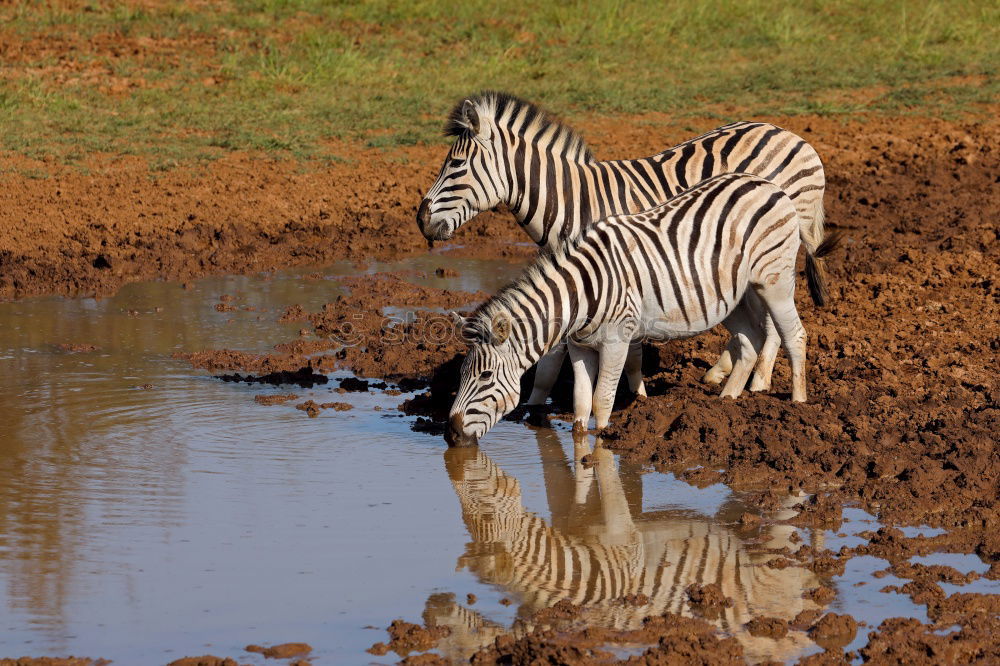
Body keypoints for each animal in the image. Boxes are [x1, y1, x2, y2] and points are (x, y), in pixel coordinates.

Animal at [414, 91, 828, 402]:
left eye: (456, 165)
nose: (420, 219)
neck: (575, 203)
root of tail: (796, 137)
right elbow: (551, 358)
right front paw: (534, 407)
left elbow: (628, 354)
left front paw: (635, 397)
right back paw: (722, 372)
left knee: (774, 319)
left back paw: (759, 381)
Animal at [426, 434, 824, 660]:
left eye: (458, 649)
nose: (429, 613)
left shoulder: (617, 539)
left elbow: (605, 474)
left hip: (775, 561)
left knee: (790, 527)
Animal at [446, 171, 812, 444]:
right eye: (461, 375)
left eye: (485, 376)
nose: (451, 434)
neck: (581, 295)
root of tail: (766, 183)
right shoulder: (580, 347)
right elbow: (581, 400)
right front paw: (581, 441)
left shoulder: (616, 342)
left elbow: (602, 399)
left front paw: (602, 440)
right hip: (734, 295)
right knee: (750, 341)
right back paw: (728, 402)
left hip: (774, 281)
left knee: (795, 335)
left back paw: (798, 403)